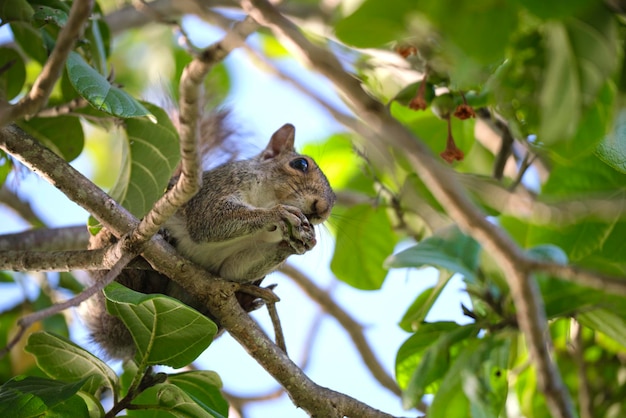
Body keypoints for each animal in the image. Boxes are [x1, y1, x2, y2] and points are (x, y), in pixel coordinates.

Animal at [86, 121, 336, 360]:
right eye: (300, 164)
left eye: (334, 200)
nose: (323, 209)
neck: (265, 199)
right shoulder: (216, 187)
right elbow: (207, 221)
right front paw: (278, 213)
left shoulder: (241, 259)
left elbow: (233, 270)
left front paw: (298, 244)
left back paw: (245, 301)